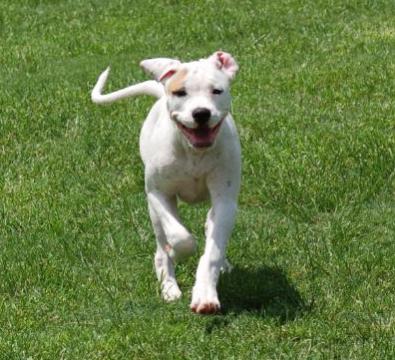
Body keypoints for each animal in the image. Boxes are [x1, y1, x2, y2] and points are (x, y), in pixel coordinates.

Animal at [93, 52, 241, 314]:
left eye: (217, 90)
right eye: (180, 92)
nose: (201, 113)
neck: (193, 152)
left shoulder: (226, 199)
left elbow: (212, 251)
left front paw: (205, 294)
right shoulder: (158, 194)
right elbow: (181, 237)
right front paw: (180, 252)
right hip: (154, 212)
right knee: (162, 246)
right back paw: (169, 286)